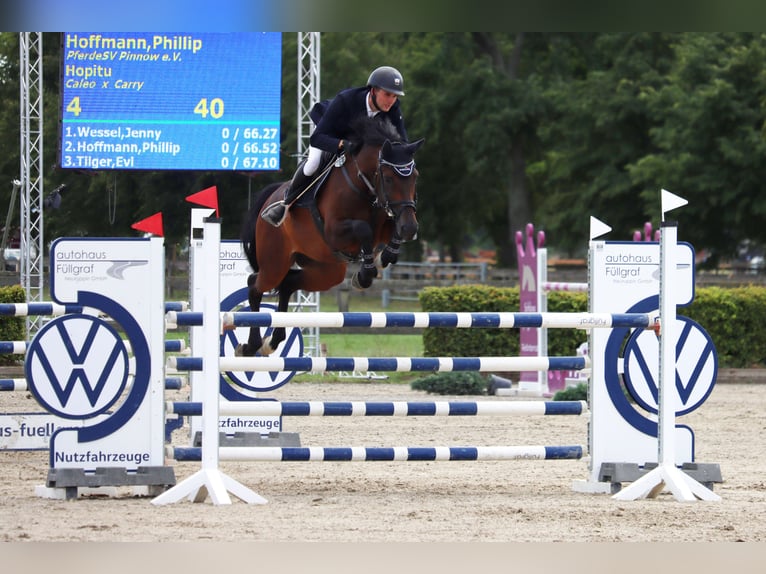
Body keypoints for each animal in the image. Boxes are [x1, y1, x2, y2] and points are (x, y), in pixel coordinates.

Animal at [238, 117, 426, 358]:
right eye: (388, 178)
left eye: (415, 177)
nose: (410, 227)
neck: (365, 186)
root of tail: (271, 197)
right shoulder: (334, 232)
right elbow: (363, 229)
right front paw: (365, 274)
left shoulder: (389, 220)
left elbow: (392, 231)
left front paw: (385, 257)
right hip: (275, 261)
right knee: (255, 285)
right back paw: (251, 345)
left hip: (326, 270)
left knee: (288, 284)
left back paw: (272, 340)